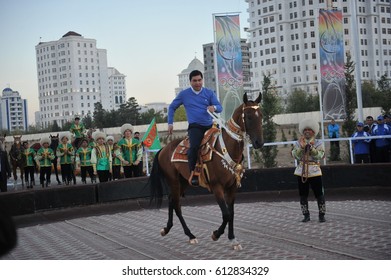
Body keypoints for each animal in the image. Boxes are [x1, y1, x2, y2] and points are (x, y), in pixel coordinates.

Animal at [149, 93, 264, 250]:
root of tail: (163, 149)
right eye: (249, 116)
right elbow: (226, 214)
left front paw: (232, 239)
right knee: (177, 205)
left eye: (261, 115)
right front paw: (216, 234)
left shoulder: (232, 188)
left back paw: (167, 229)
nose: (259, 142)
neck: (226, 148)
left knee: (173, 201)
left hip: (183, 181)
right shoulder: (217, 187)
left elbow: (231, 213)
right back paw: (190, 235)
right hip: (173, 181)